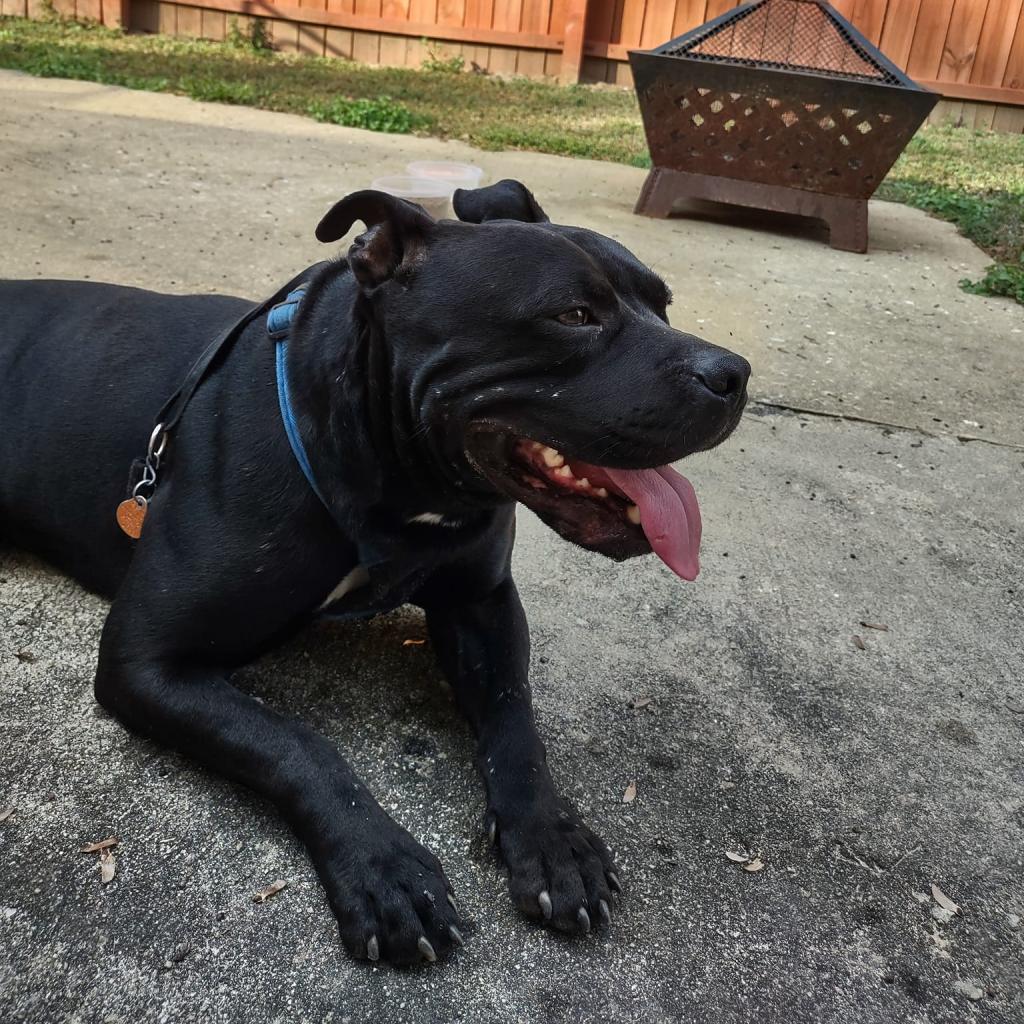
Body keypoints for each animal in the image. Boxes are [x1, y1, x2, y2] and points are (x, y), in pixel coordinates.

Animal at [2, 182, 753, 958]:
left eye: (663, 304)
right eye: (573, 315)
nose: (733, 373)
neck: (390, 470)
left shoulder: (482, 603)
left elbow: (517, 720)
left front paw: (550, 838)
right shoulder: (147, 660)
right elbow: (294, 742)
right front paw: (381, 864)